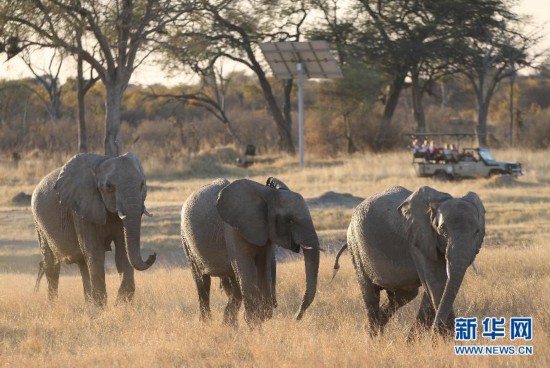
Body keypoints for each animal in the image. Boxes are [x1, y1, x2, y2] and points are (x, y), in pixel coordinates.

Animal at [31, 151, 156, 306]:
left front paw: (122, 304)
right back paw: (53, 306)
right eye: (109, 187)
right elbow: (96, 253)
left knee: (83, 264)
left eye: (142, 184)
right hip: (39, 223)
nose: (152, 255)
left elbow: (122, 252)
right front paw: (103, 307)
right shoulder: (81, 209)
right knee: (51, 264)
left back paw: (88, 305)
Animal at [181, 177, 322, 326]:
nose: (296, 317)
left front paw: (260, 319)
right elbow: (247, 272)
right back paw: (207, 325)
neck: (267, 193)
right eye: (289, 221)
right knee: (202, 283)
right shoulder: (233, 230)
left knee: (234, 285)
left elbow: (263, 270)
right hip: (186, 238)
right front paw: (254, 325)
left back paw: (229, 326)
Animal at [334, 187, 486, 336]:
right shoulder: (418, 241)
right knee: (371, 294)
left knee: (403, 296)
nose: (434, 331)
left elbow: (433, 289)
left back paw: (370, 330)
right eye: (442, 229)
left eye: (477, 231)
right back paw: (373, 337)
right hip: (355, 247)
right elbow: (437, 283)